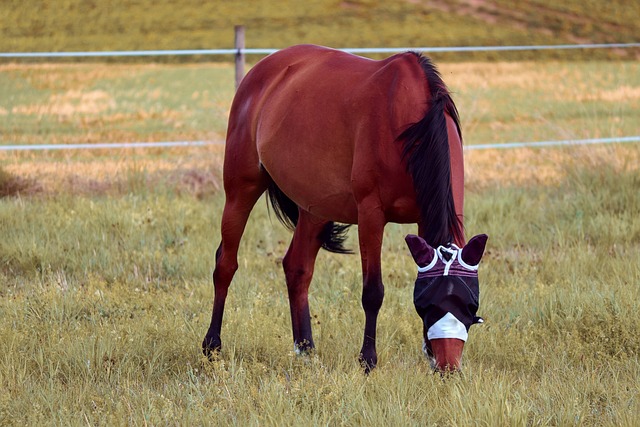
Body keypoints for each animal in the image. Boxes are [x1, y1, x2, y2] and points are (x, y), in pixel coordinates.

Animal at [202, 44, 488, 372]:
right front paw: (368, 360)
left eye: (470, 305)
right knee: (226, 263)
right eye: (428, 305)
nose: (448, 366)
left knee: (297, 267)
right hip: (241, 189)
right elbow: (373, 291)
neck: (410, 124)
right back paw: (212, 345)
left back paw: (305, 348)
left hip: (314, 207)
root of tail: (263, 68)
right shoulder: (371, 214)